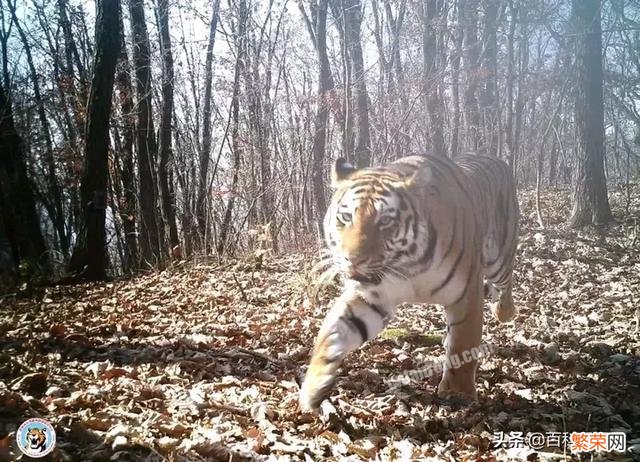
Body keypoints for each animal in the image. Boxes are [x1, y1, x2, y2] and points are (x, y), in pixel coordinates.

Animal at [300, 154, 520, 412]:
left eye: (385, 221)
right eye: (346, 217)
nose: (352, 259)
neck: (408, 266)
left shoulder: (466, 293)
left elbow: (464, 343)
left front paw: (459, 393)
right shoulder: (372, 295)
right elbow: (331, 333)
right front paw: (313, 387)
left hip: (499, 257)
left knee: (505, 284)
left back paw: (504, 311)